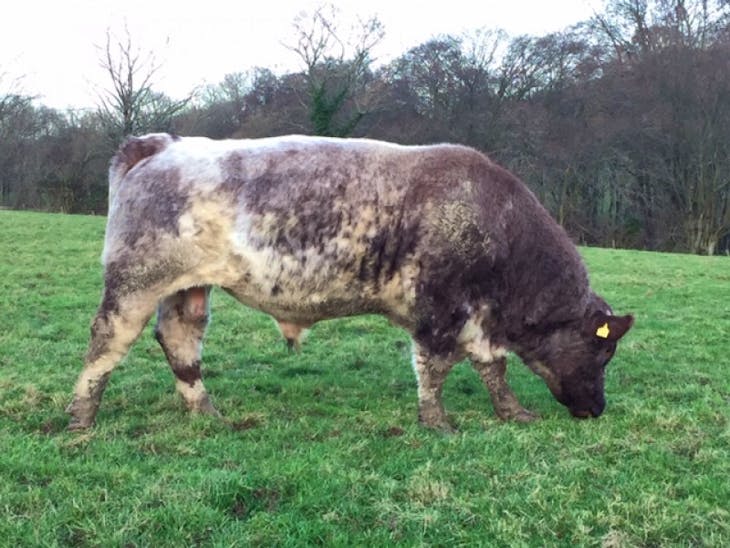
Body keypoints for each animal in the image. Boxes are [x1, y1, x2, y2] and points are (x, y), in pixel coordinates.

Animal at [66, 133, 633, 431]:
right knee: (107, 340)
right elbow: (435, 366)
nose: (597, 409)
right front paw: (437, 422)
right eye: (603, 350)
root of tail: (163, 144)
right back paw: (81, 419)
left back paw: (208, 413)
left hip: (188, 287)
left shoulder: (478, 319)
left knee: (180, 340)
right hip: (135, 280)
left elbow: (492, 367)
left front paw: (514, 412)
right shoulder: (439, 309)